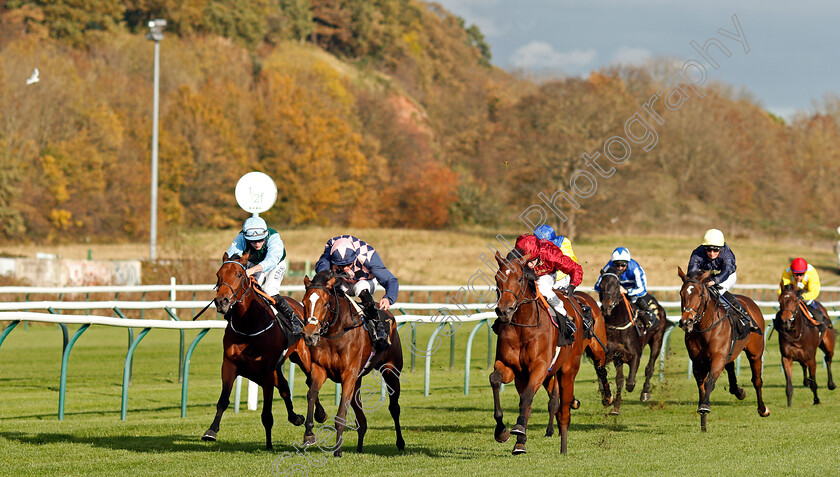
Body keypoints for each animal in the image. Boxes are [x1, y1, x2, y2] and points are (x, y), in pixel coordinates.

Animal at [202, 251, 326, 448]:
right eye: (218, 275)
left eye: (239, 274)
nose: (222, 302)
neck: (249, 325)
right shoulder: (229, 364)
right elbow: (223, 400)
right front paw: (211, 431)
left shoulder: (267, 370)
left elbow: (267, 413)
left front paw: (269, 444)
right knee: (285, 387)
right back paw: (296, 417)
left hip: (302, 357)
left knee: (310, 380)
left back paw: (318, 417)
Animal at [300, 270, 406, 456]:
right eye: (304, 302)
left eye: (326, 303)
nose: (309, 335)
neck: (336, 332)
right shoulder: (320, 370)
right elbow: (311, 394)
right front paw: (309, 433)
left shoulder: (348, 374)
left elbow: (342, 411)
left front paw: (337, 450)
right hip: (358, 380)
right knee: (361, 418)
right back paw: (359, 448)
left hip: (391, 370)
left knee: (394, 407)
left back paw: (400, 443)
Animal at [488, 249, 588, 454]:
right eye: (497, 278)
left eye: (519, 278)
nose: (504, 311)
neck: (523, 325)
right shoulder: (510, 367)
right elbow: (495, 380)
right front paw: (502, 431)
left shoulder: (540, 367)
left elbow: (527, 398)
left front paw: (518, 428)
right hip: (527, 377)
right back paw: (520, 443)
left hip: (567, 371)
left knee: (563, 410)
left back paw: (563, 448)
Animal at [596, 268, 668, 412]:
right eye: (600, 285)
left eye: (616, 286)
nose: (606, 307)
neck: (618, 325)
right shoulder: (613, 355)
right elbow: (615, 379)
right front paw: (612, 403)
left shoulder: (635, 355)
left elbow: (629, 382)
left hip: (657, 340)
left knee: (650, 367)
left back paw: (645, 392)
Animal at [680, 268, 772, 432]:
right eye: (681, 293)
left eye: (700, 294)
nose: (686, 321)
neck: (705, 328)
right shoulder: (697, 362)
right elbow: (702, 387)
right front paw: (703, 422)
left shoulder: (718, 357)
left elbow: (710, 382)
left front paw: (704, 407)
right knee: (731, 368)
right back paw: (739, 392)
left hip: (755, 353)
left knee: (757, 380)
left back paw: (762, 409)